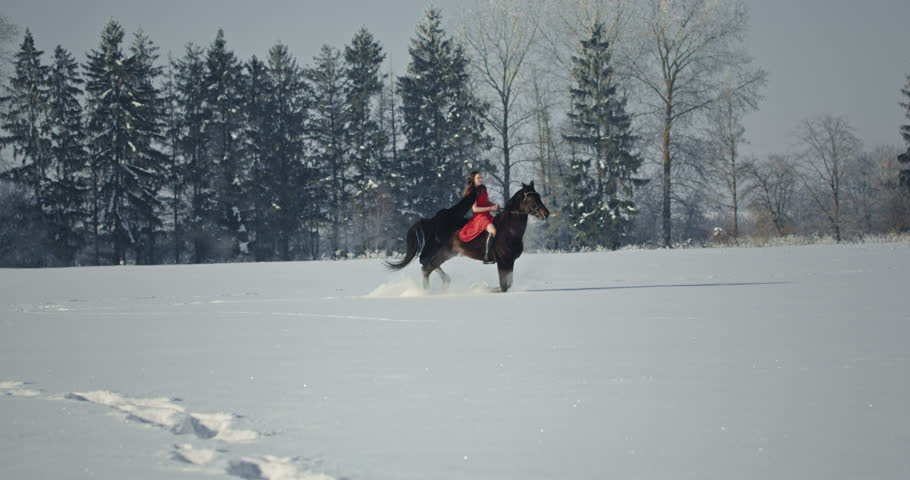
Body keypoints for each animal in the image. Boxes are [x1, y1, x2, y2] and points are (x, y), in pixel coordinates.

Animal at [385, 181, 550, 292]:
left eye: (539, 196)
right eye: (531, 198)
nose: (546, 214)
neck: (508, 230)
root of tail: (432, 221)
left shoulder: (509, 262)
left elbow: (508, 285)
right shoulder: (503, 261)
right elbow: (503, 286)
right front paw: (484, 289)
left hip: (447, 253)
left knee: (427, 266)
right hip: (439, 251)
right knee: (426, 267)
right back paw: (427, 292)